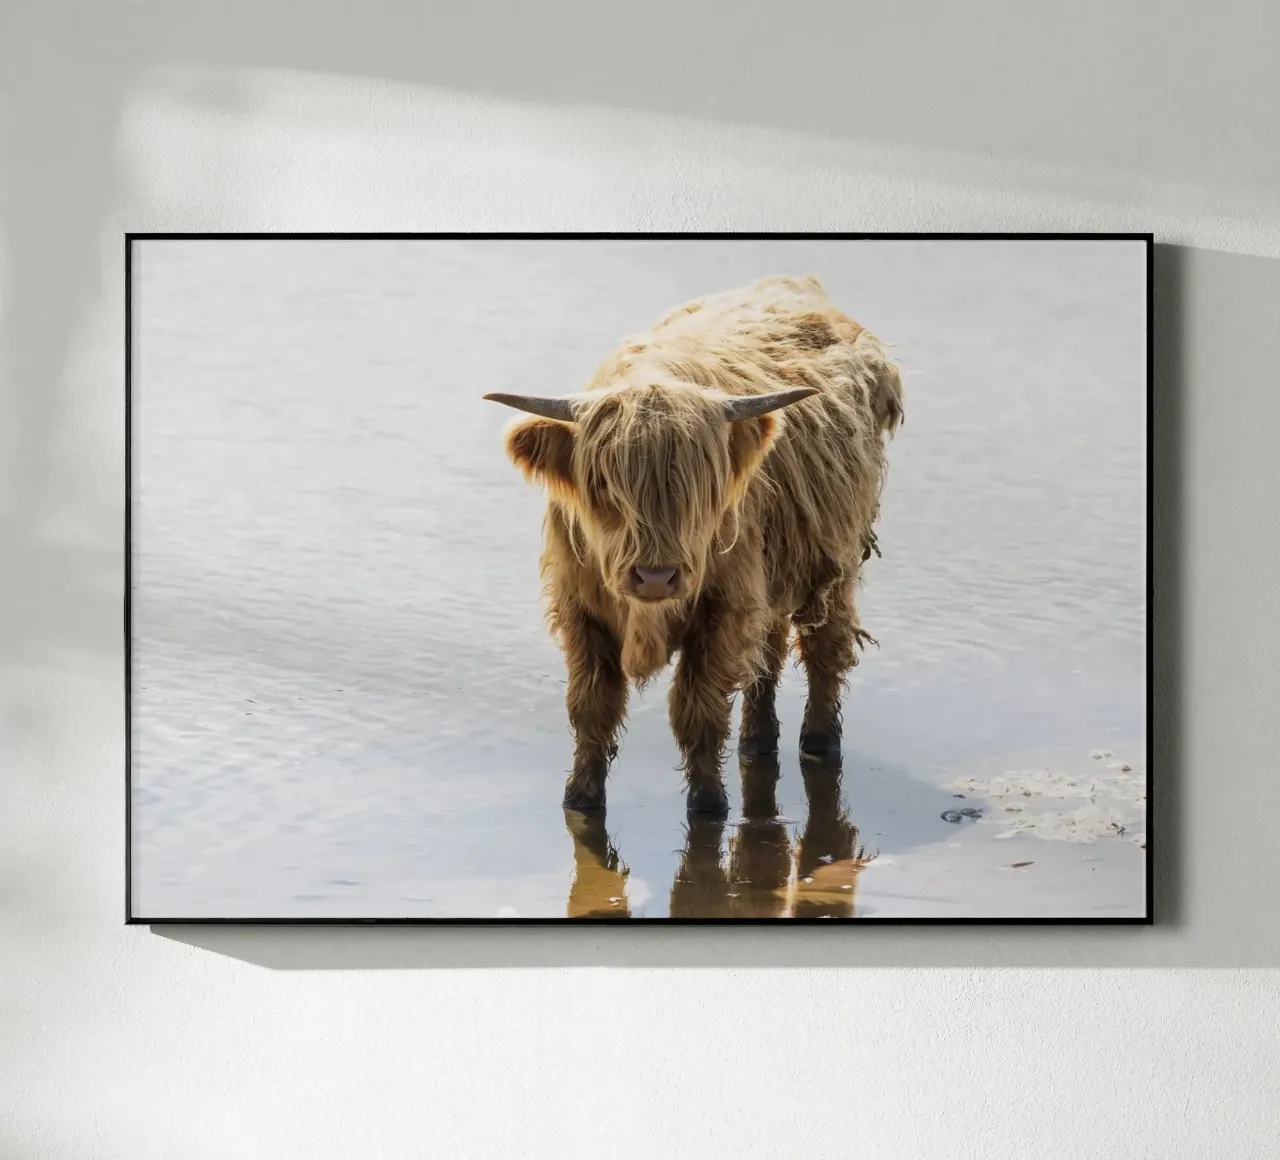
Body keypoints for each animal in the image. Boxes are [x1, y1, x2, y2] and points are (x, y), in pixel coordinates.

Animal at [485, 274, 904, 815]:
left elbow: (698, 711)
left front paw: (708, 804)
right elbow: (591, 707)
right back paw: (757, 742)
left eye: (699, 488)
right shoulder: (580, 609)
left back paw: (819, 742)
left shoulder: (723, 606)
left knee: (824, 649)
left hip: (835, 561)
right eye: (602, 484)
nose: (655, 576)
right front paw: (580, 798)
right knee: (766, 652)